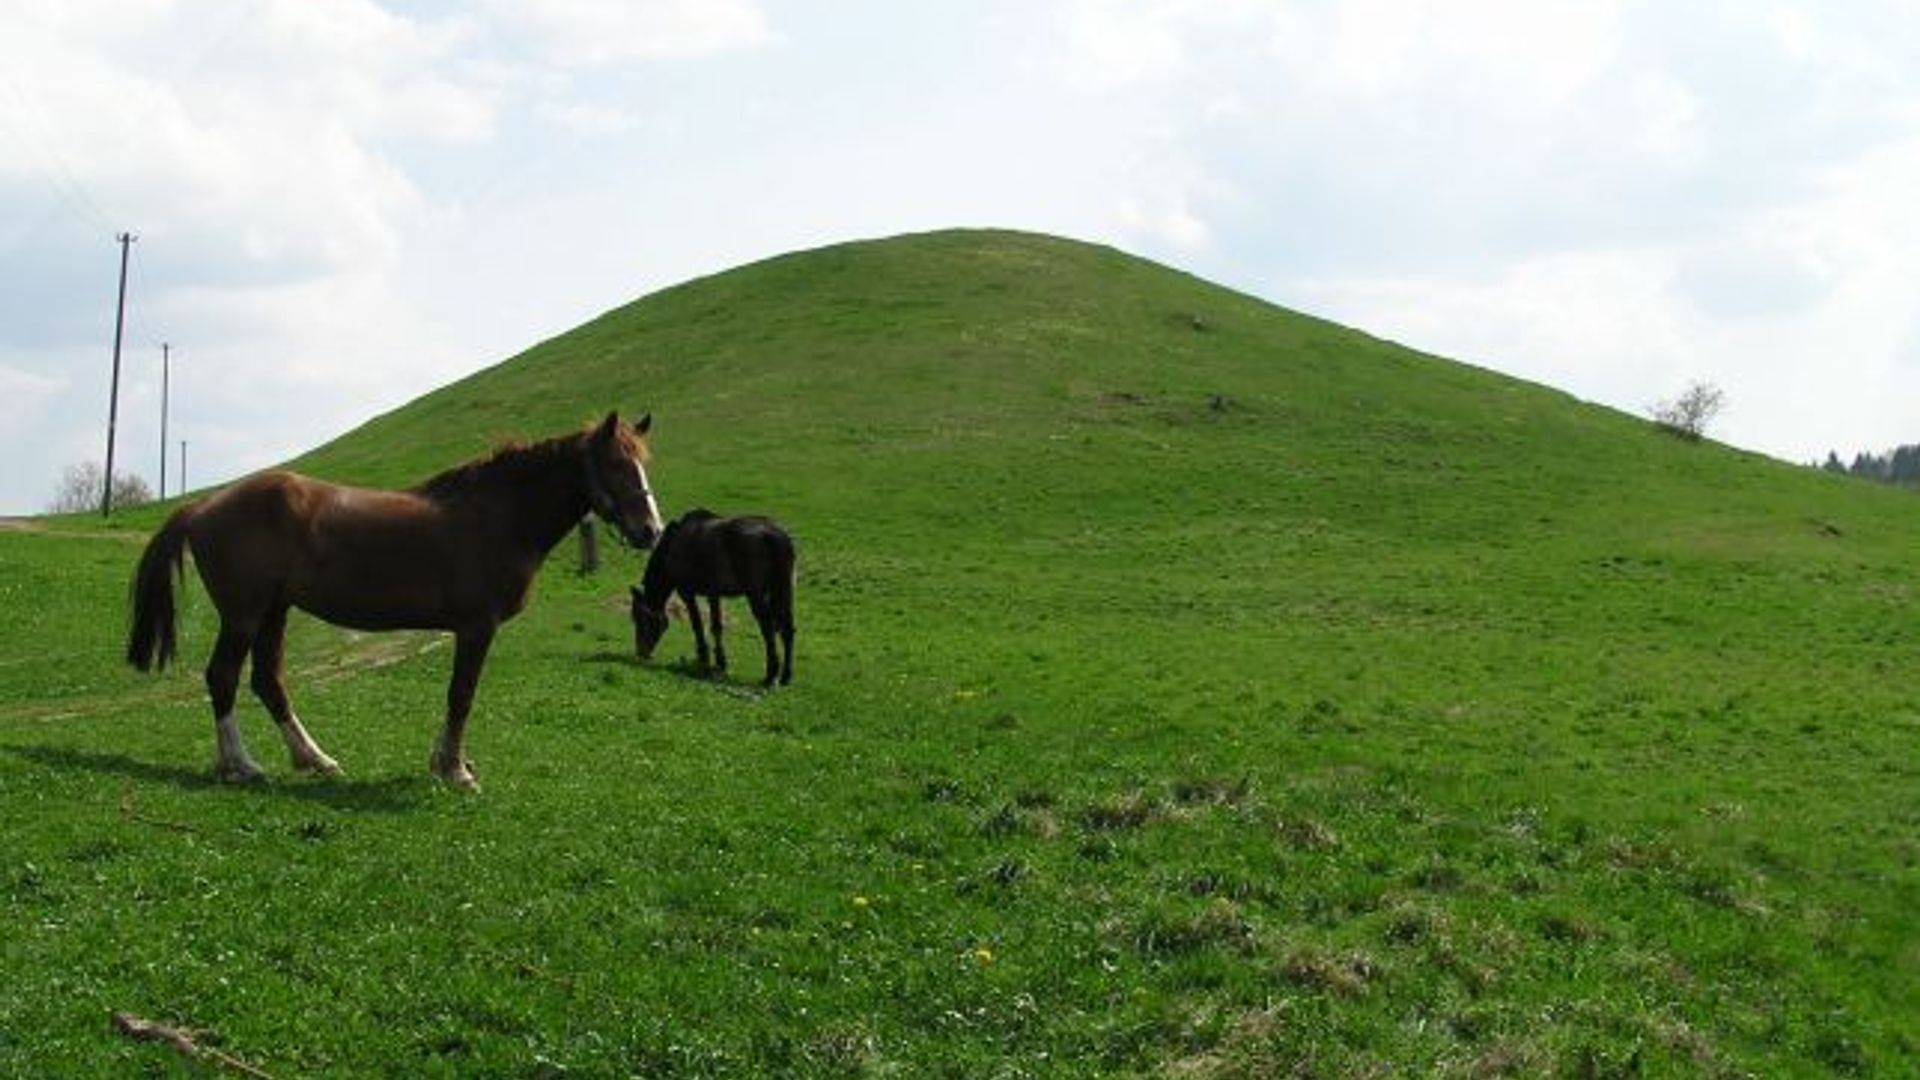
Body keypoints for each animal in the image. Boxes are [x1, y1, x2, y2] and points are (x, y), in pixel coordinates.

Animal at [125, 407, 668, 787]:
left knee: (268, 682)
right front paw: (455, 771)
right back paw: (240, 764)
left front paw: (446, 762)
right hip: (244, 615)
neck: (497, 515)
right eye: (615, 463)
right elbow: (461, 695)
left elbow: (458, 695)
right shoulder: (477, 627)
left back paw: (313, 758)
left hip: (273, 613)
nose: (651, 530)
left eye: (643, 463)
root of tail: (202, 506)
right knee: (222, 678)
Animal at [637, 507, 794, 684]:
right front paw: (720, 663)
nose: (641, 653)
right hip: (783, 590)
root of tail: (774, 534)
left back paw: (770, 675)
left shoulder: (687, 593)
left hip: (756, 594)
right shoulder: (714, 594)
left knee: (768, 629)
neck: (674, 544)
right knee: (787, 629)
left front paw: (704, 658)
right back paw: (785, 676)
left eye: (639, 619)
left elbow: (697, 624)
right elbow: (717, 626)